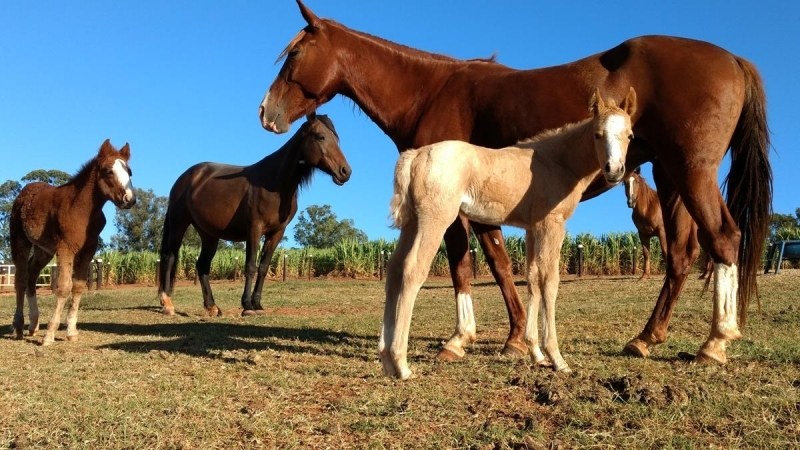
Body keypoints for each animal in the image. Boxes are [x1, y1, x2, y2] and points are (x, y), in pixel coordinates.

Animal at [10, 140, 136, 344]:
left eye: (129, 171)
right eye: (108, 171)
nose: (130, 199)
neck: (81, 209)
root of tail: (25, 191)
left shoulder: (88, 250)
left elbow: (78, 286)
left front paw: (71, 331)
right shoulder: (65, 248)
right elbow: (63, 287)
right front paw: (50, 335)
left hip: (44, 250)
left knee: (32, 275)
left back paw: (34, 324)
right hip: (20, 240)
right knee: (21, 279)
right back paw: (19, 326)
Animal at [158, 113, 352, 316]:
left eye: (336, 138)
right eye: (321, 137)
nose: (345, 171)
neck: (275, 183)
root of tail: (186, 177)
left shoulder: (277, 233)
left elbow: (264, 267)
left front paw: (258, 304)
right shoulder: (254, 229)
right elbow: (250, 266)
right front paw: (247, 306)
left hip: (209, 234)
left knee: (202, 266)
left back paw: (212, 307)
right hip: (179, 224)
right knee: (170, 258)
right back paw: (168, 304)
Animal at [382, 88, 636, 380]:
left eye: (629, 135)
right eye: (597, 134)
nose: (614, 170)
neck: (557, 162)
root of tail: (415, 155)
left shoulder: (532, 229)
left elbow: (533, 278)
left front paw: (536, 354)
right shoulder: (552, 224)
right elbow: (550, 281)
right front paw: (557, 359)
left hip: (412, 223)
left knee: (394, 270)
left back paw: (385, 360)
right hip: (434, 220)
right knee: (412, 270)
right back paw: (401, 364)